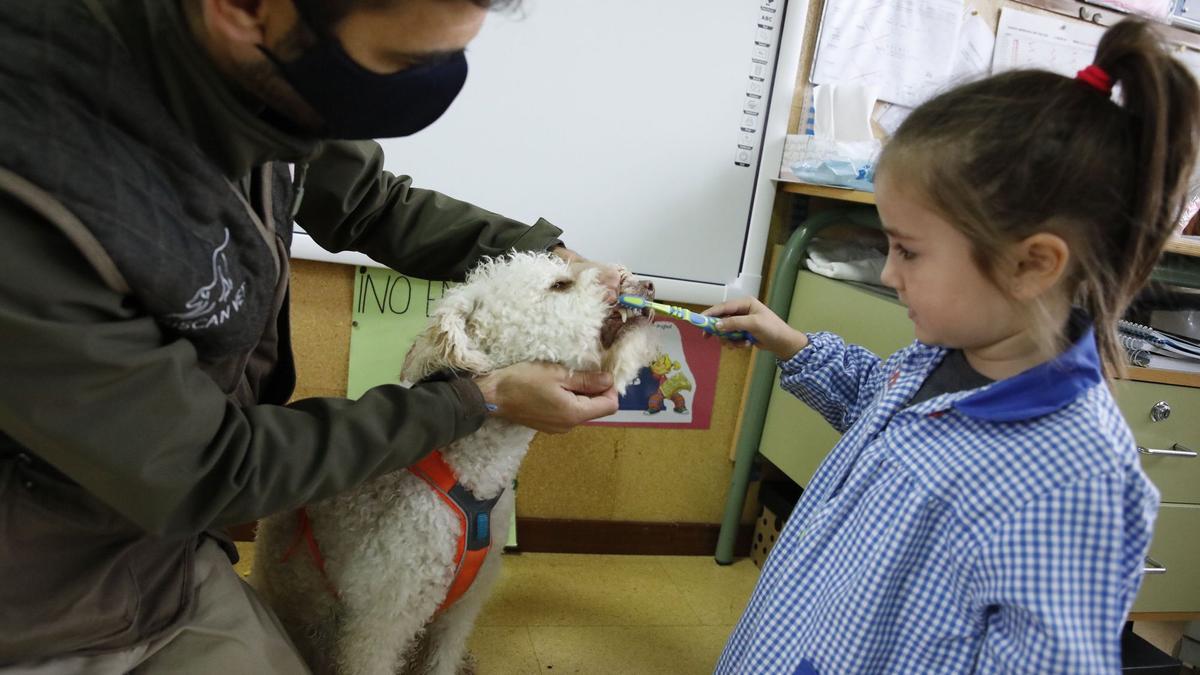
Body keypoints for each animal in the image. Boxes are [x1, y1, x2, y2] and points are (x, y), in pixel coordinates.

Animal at [250, 251, 657, 672]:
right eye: (560, 285)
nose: (646, 284)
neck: (469, 477)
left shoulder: (463, 609)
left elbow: (443, 657)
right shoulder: (380, 622)